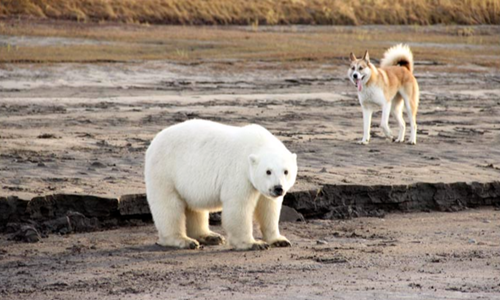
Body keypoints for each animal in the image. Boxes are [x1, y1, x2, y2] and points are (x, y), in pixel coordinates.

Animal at [146, 119, 298, 251]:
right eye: (268, 171)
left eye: (286, 171)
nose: (278, 188)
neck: (257, 144)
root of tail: (155, 141)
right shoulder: (239, 173)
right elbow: (239, 208)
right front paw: (254, 244)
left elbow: (269, 208)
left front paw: (280, 240)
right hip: (164, 171)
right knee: (168, 206)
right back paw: (184, 240)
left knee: (194, 207)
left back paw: (210, 236)